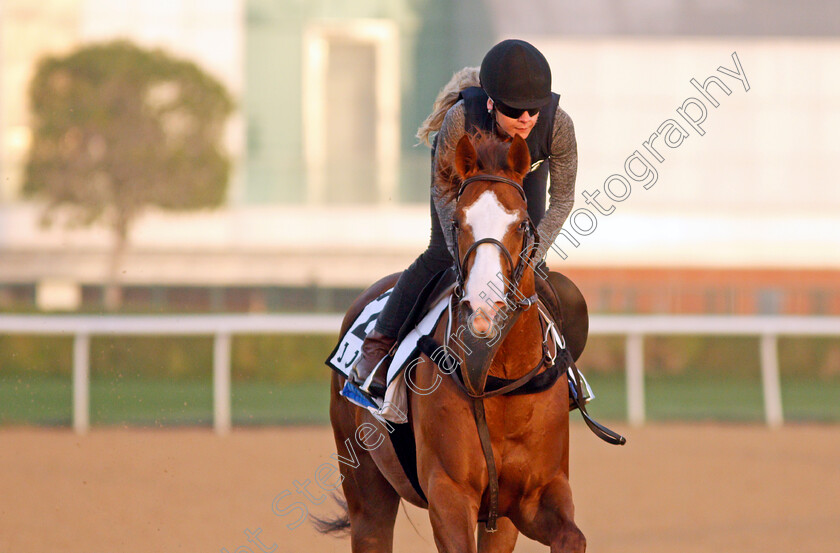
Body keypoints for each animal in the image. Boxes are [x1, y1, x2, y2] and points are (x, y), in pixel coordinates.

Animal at [324, 132, 588, 548]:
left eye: (521, 224)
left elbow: (572, 537)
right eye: (458, 222)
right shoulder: (449, 494)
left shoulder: (532, 496)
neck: (498, 380)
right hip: (365, 487)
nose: (484, 307)